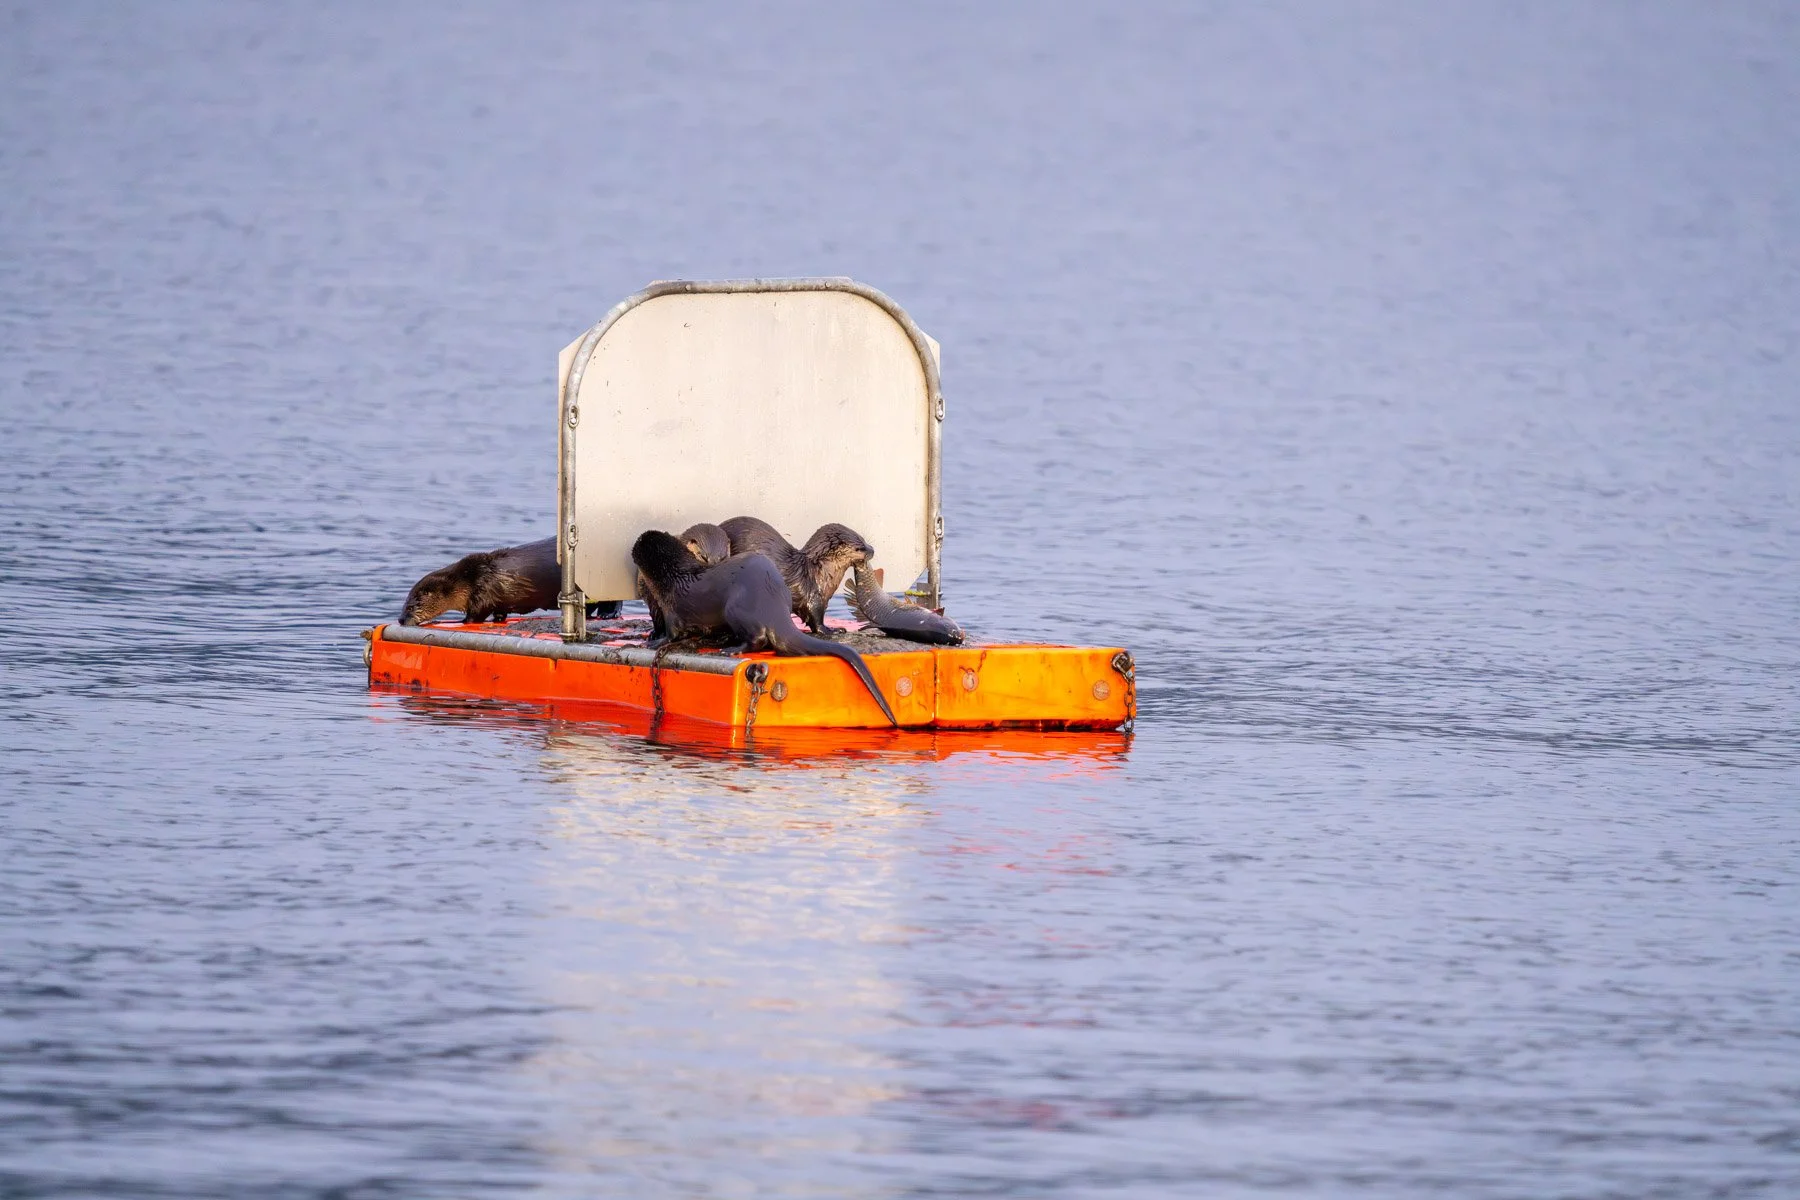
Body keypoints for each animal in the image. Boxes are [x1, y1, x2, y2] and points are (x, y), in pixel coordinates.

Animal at [400, 537, 621, 626]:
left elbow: (475, 615)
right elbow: (500, 611)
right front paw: (499, 619)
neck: (470, 578)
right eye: (403, 605)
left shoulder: (482, 594)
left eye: (411, 607)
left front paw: (460, 621)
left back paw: (608, 614)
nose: (401, 620)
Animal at [631, 530, 898, 727]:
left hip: (736, 608)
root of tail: (774, 609)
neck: (676, 575)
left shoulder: (672, 609)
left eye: (640, 546)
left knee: (758, 637)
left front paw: (652, 642)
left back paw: (732, 649)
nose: (634, 543)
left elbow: (672, 633)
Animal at [719, 516, 873, 634]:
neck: (820, 571)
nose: (872, 550)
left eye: (864, 539)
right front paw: (833, 630)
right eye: (860, 548)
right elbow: (816, 619)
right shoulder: (814, 595)